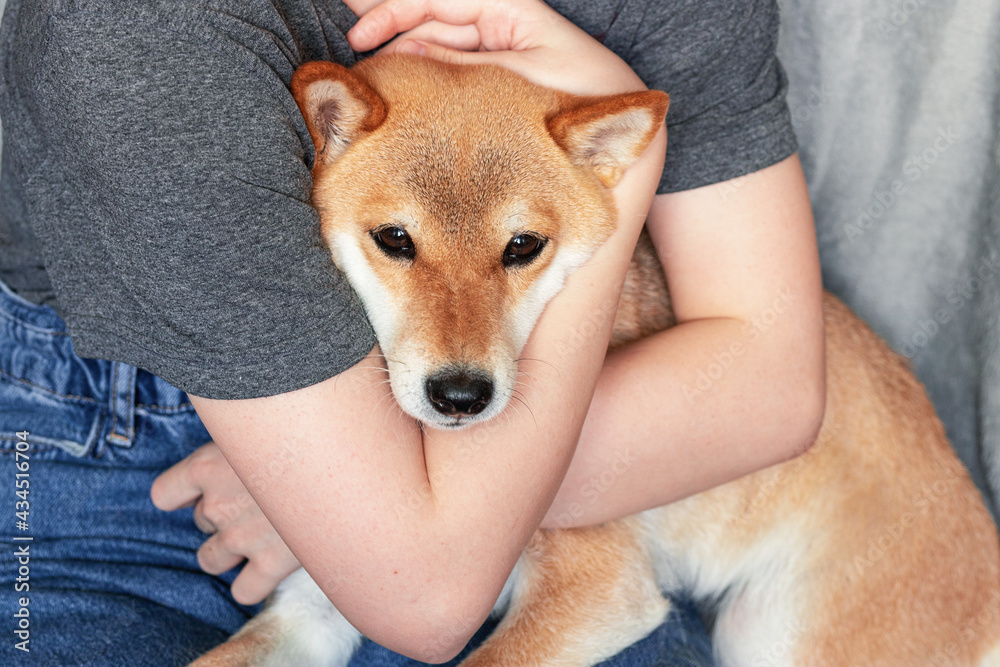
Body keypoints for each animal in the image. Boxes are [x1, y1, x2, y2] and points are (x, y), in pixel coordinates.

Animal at [193, 56, 1000, 667]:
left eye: (523, 246)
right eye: (394, 239)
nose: (462, 394)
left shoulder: (598, 587)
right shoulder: (323, 603)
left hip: (775, 632)